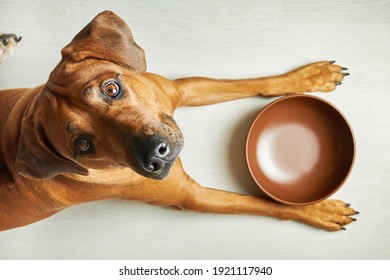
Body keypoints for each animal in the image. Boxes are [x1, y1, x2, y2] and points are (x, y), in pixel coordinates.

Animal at [0, 10, 356, 231]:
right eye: (82, 145)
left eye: (111, 88)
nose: (154, 155)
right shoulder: (193, 198)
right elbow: (264, 203)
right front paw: (317, 210)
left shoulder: (179, 90)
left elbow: (253, 82)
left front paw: (309, 77)